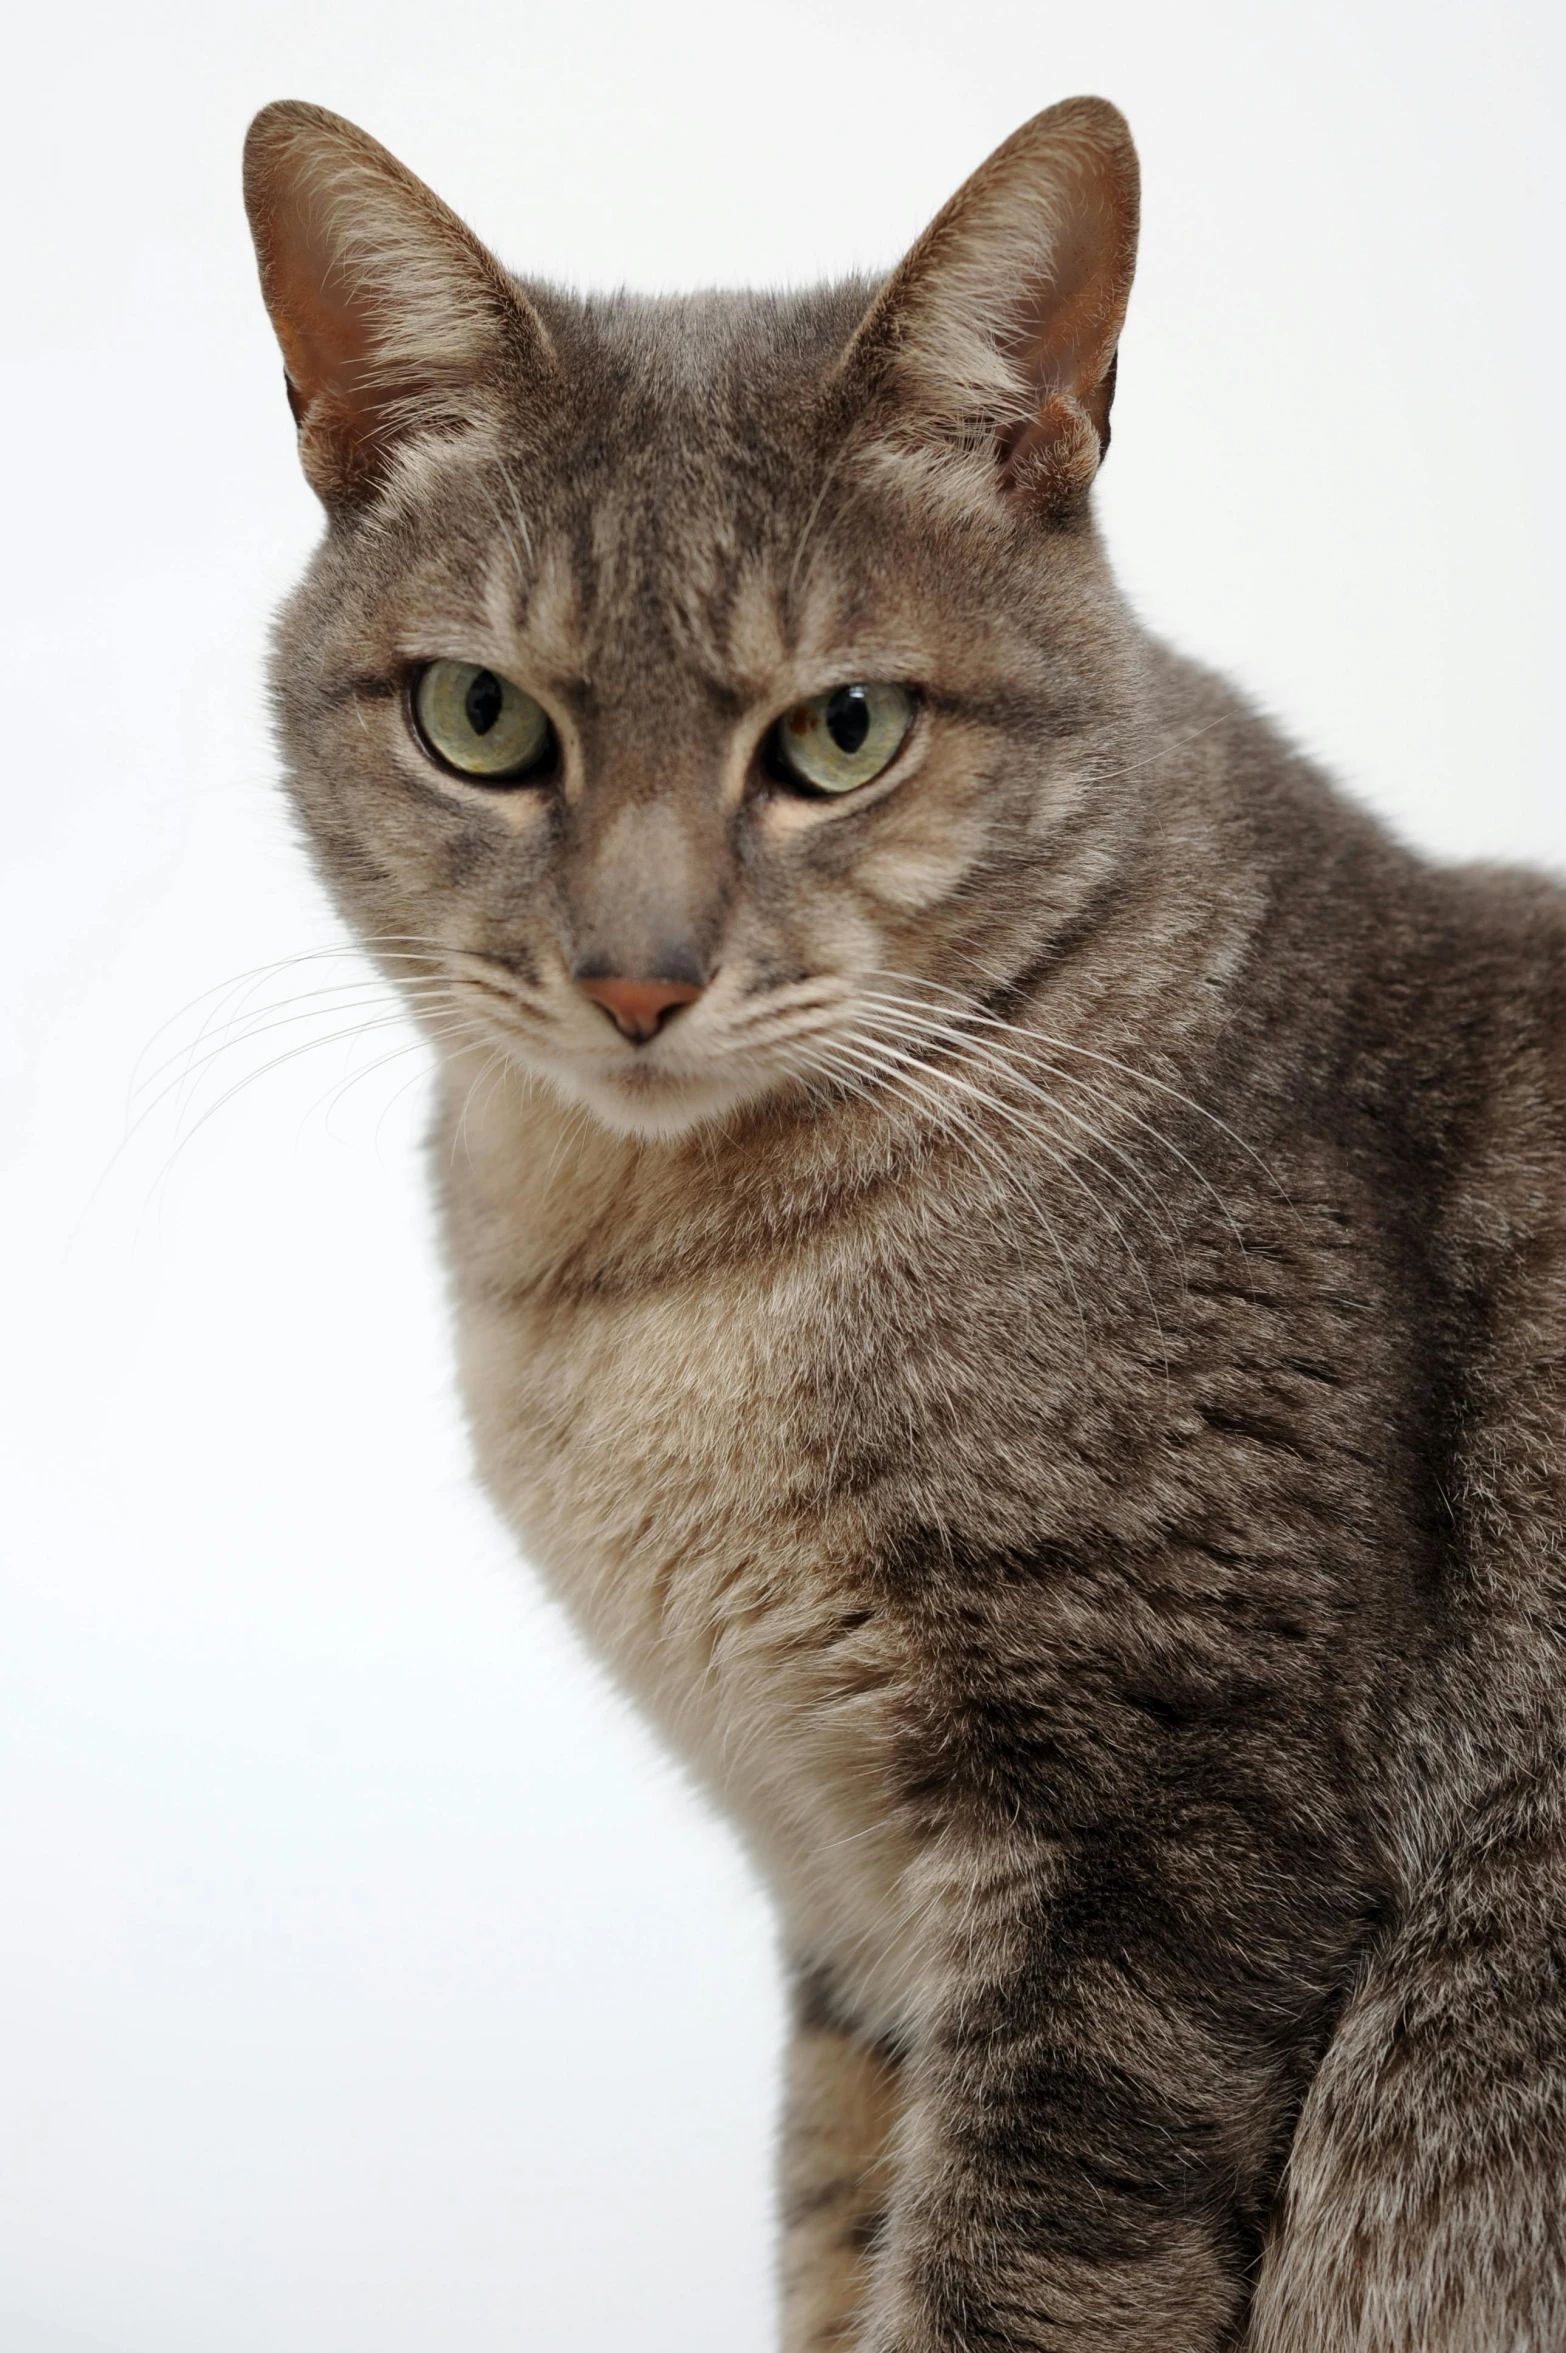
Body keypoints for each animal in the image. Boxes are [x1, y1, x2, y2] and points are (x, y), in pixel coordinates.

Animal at [244, 96, 1561, 2353]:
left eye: (839, 732)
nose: (638, 978)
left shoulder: (1158, 1831)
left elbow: (1006, 2278)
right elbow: (833, 2235)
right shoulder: (851, 1925)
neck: (640, 1285)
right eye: (482, 721)